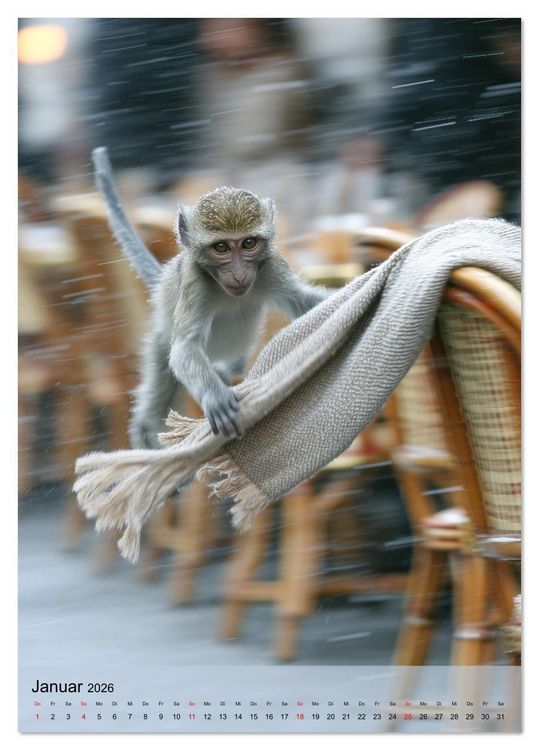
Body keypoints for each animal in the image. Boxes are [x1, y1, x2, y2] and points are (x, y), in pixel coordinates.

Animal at [92, 147, 331, 447]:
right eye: (221, 248)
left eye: (248, 243)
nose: (238, 274)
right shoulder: (195, 282)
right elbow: (185, 349)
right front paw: (214, 397)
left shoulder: (271, 267)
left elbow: (302, 300)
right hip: (160, 341)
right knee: (157, 398)